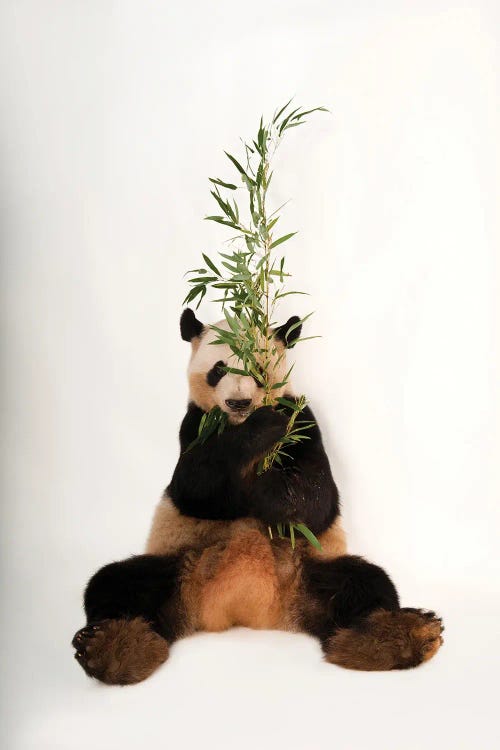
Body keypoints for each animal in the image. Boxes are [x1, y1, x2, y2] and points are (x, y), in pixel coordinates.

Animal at [72, 310, 444, 688]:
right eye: (219, 369)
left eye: (257, 369)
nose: (239, 403)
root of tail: (249, 613)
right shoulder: (196, 425)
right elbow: (194, 486)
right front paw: (257, 434)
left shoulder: (301, 420)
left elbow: (317, 500)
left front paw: (268, 482)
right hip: (176, 564)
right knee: (116, 584)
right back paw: (112, 648)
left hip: (312, 567)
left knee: (365, 585)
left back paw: (399, 637)